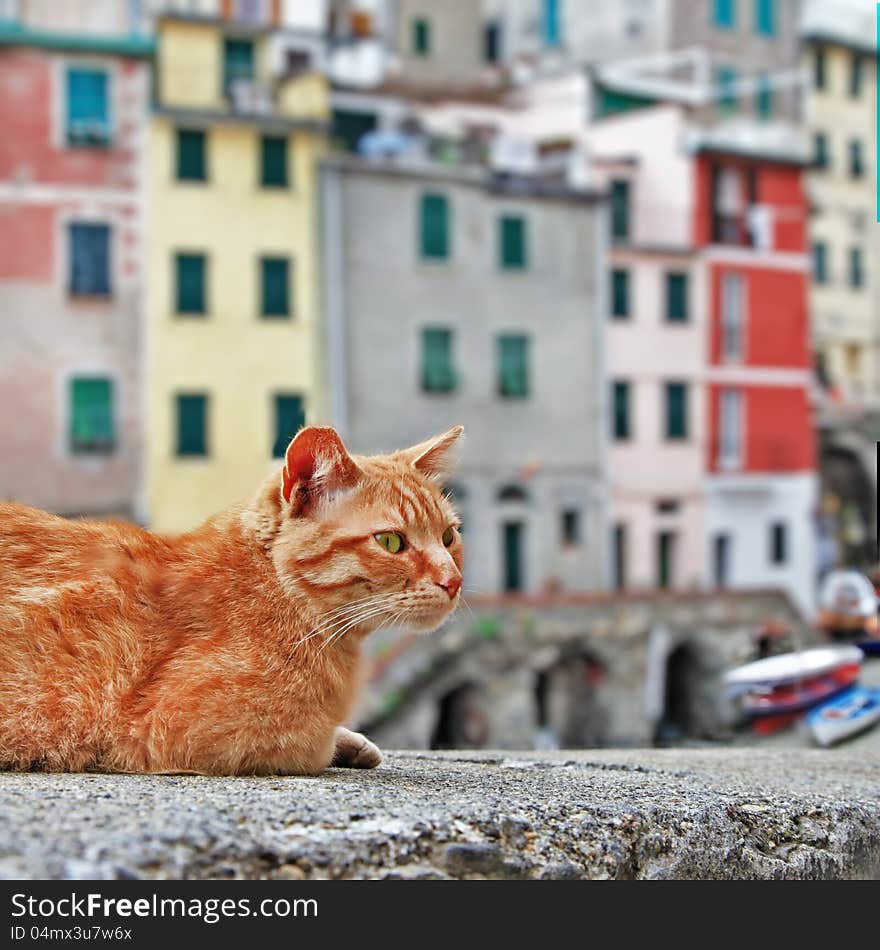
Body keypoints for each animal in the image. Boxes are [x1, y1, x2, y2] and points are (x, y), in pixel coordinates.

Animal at [0, 424, 464, 772]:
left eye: (448, 537)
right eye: (391, 541)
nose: (454, 580)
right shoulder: (180, 729)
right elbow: (313, 743)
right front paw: (342, 742)